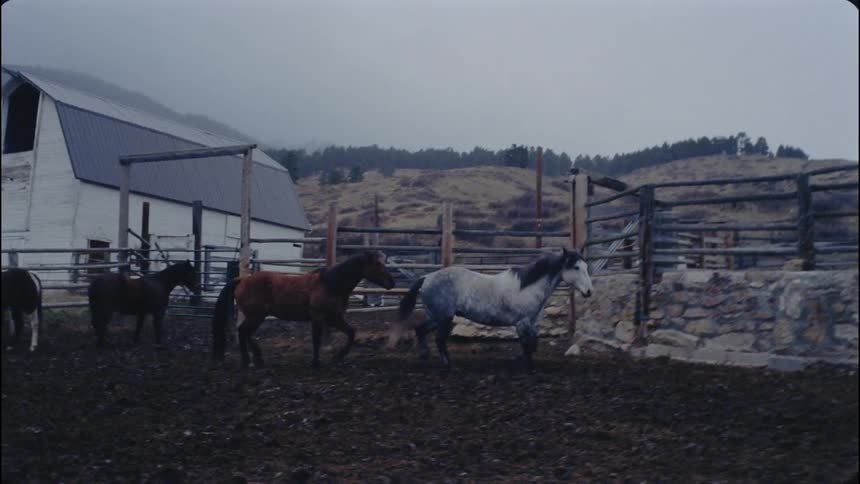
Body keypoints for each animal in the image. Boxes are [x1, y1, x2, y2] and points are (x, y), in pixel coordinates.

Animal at [212, 251, 395, 369]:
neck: (331, 284)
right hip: (255, 316)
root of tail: (241, 280)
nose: (391, 283)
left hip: (258, 316)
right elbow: (316, 340)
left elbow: (351, 332)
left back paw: (258, 358)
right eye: (377, 264)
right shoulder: (318, 317)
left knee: (246, 333)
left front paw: (338, 356)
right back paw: (247, 361)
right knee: (243, 332)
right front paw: (316, 363)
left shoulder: (334, 317)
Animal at [395, 248, 593, 369]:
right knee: (439, 339)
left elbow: (532, 344)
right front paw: (529, 367)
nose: (589, 291)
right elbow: (526, 344)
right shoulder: (522, 323)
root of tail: (426, 277)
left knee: (421, 330)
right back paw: (449, 365)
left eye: (585, 266)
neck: (527, 287)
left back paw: (424, 356)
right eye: (576, 267)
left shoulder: (531, 323)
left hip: (438, 317)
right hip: (444, 318)